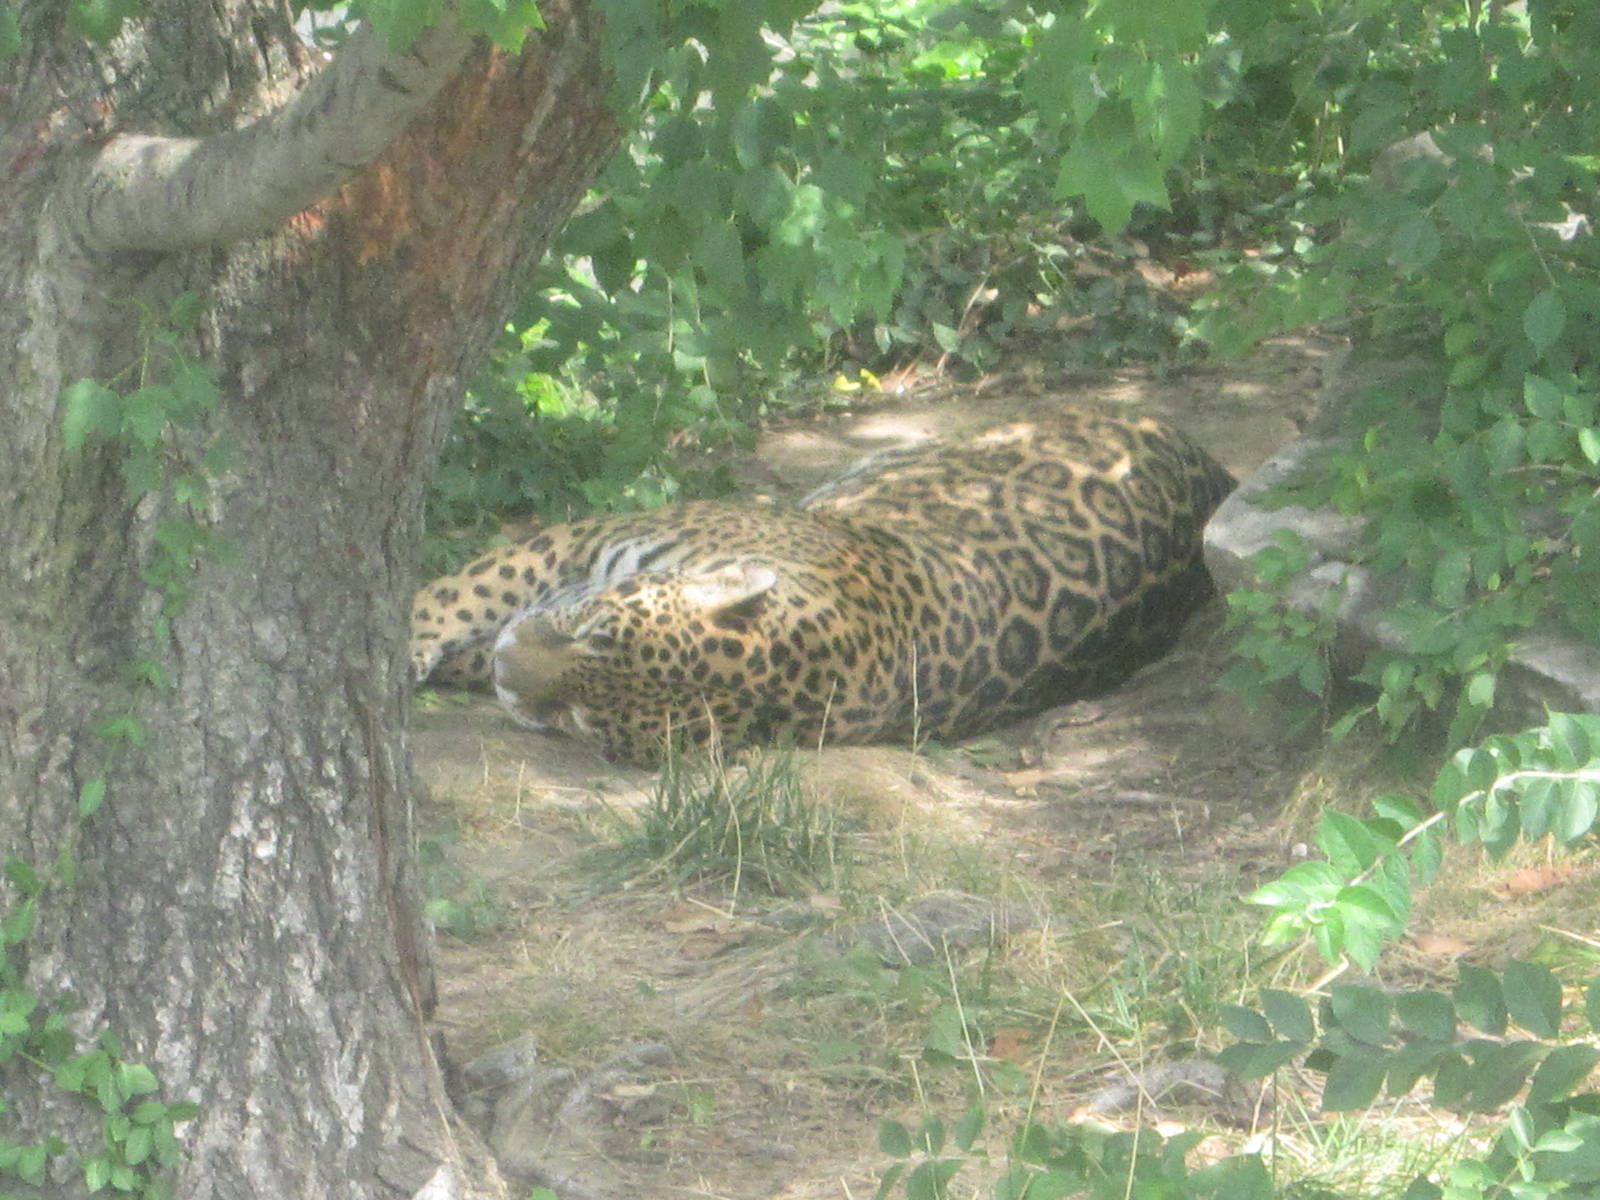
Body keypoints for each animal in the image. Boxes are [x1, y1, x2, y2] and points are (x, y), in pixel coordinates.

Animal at [410, 409, 1235, 766]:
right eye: (594, 632)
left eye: (585, 720)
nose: (509, 675)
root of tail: (1212, 466)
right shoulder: (587, 538)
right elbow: (456, 597)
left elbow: (471, 605)